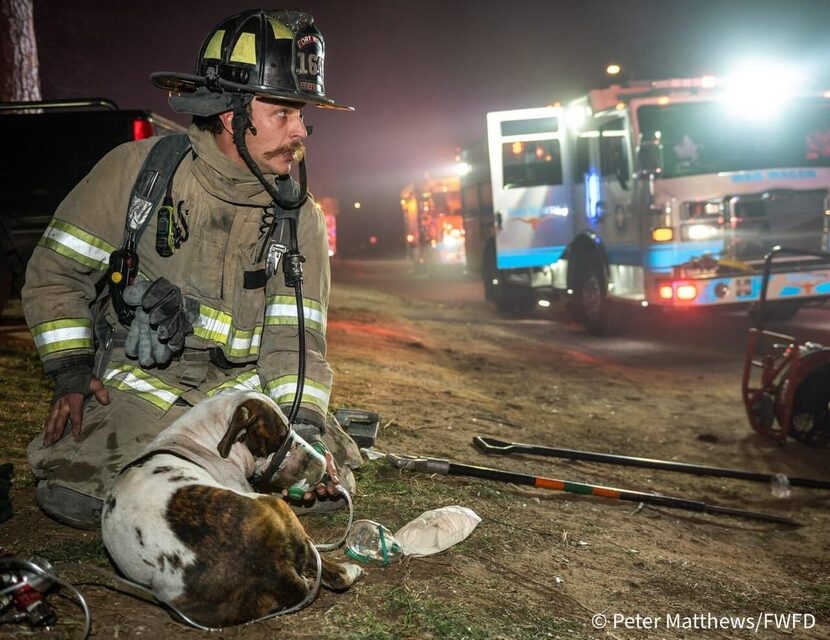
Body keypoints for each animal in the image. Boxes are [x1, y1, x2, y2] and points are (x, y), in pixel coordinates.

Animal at [101, 388, 360, 628]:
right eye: (280, 436)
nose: (320, 467)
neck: (198, 440)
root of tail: (272, 569)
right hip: (275, 506)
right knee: (334, 573)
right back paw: (349, 570)